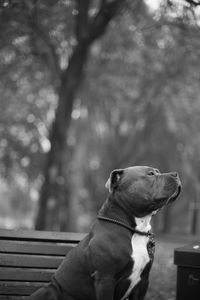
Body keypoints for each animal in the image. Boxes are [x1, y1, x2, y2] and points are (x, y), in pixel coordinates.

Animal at [28, 166, 181, 300]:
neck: (136, 230)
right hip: (47, 290)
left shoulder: (143, 282)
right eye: (150, 174)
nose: (176, 174)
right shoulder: (105, 279)